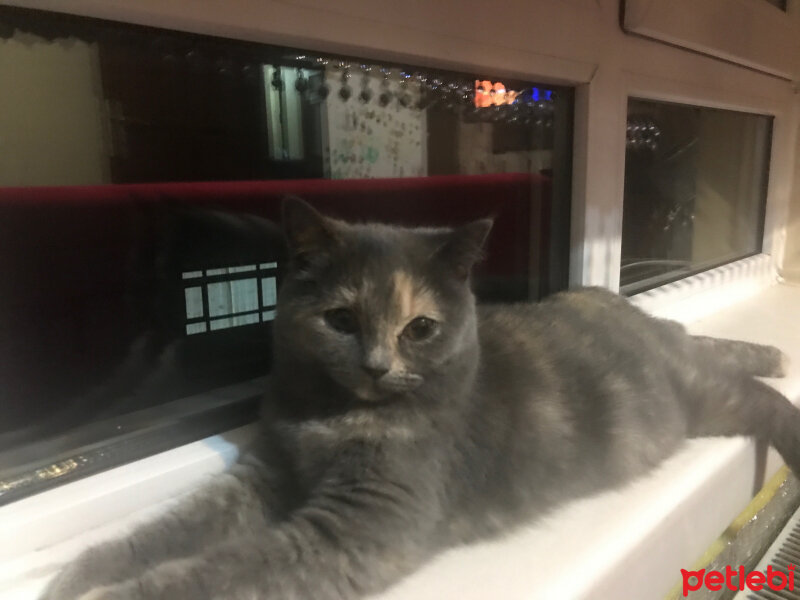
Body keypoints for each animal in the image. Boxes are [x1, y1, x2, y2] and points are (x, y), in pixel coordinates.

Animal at [40, 198, 796, 600]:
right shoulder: (265, 472)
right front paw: (83, 572)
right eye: (341, 319)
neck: (330, 416)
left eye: (421, 328)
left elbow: (230, 567)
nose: (377, 365)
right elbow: (177, 527)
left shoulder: (359, 526)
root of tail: (653, 323)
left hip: (699, 397)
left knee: (755, 394)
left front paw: (115, 593)